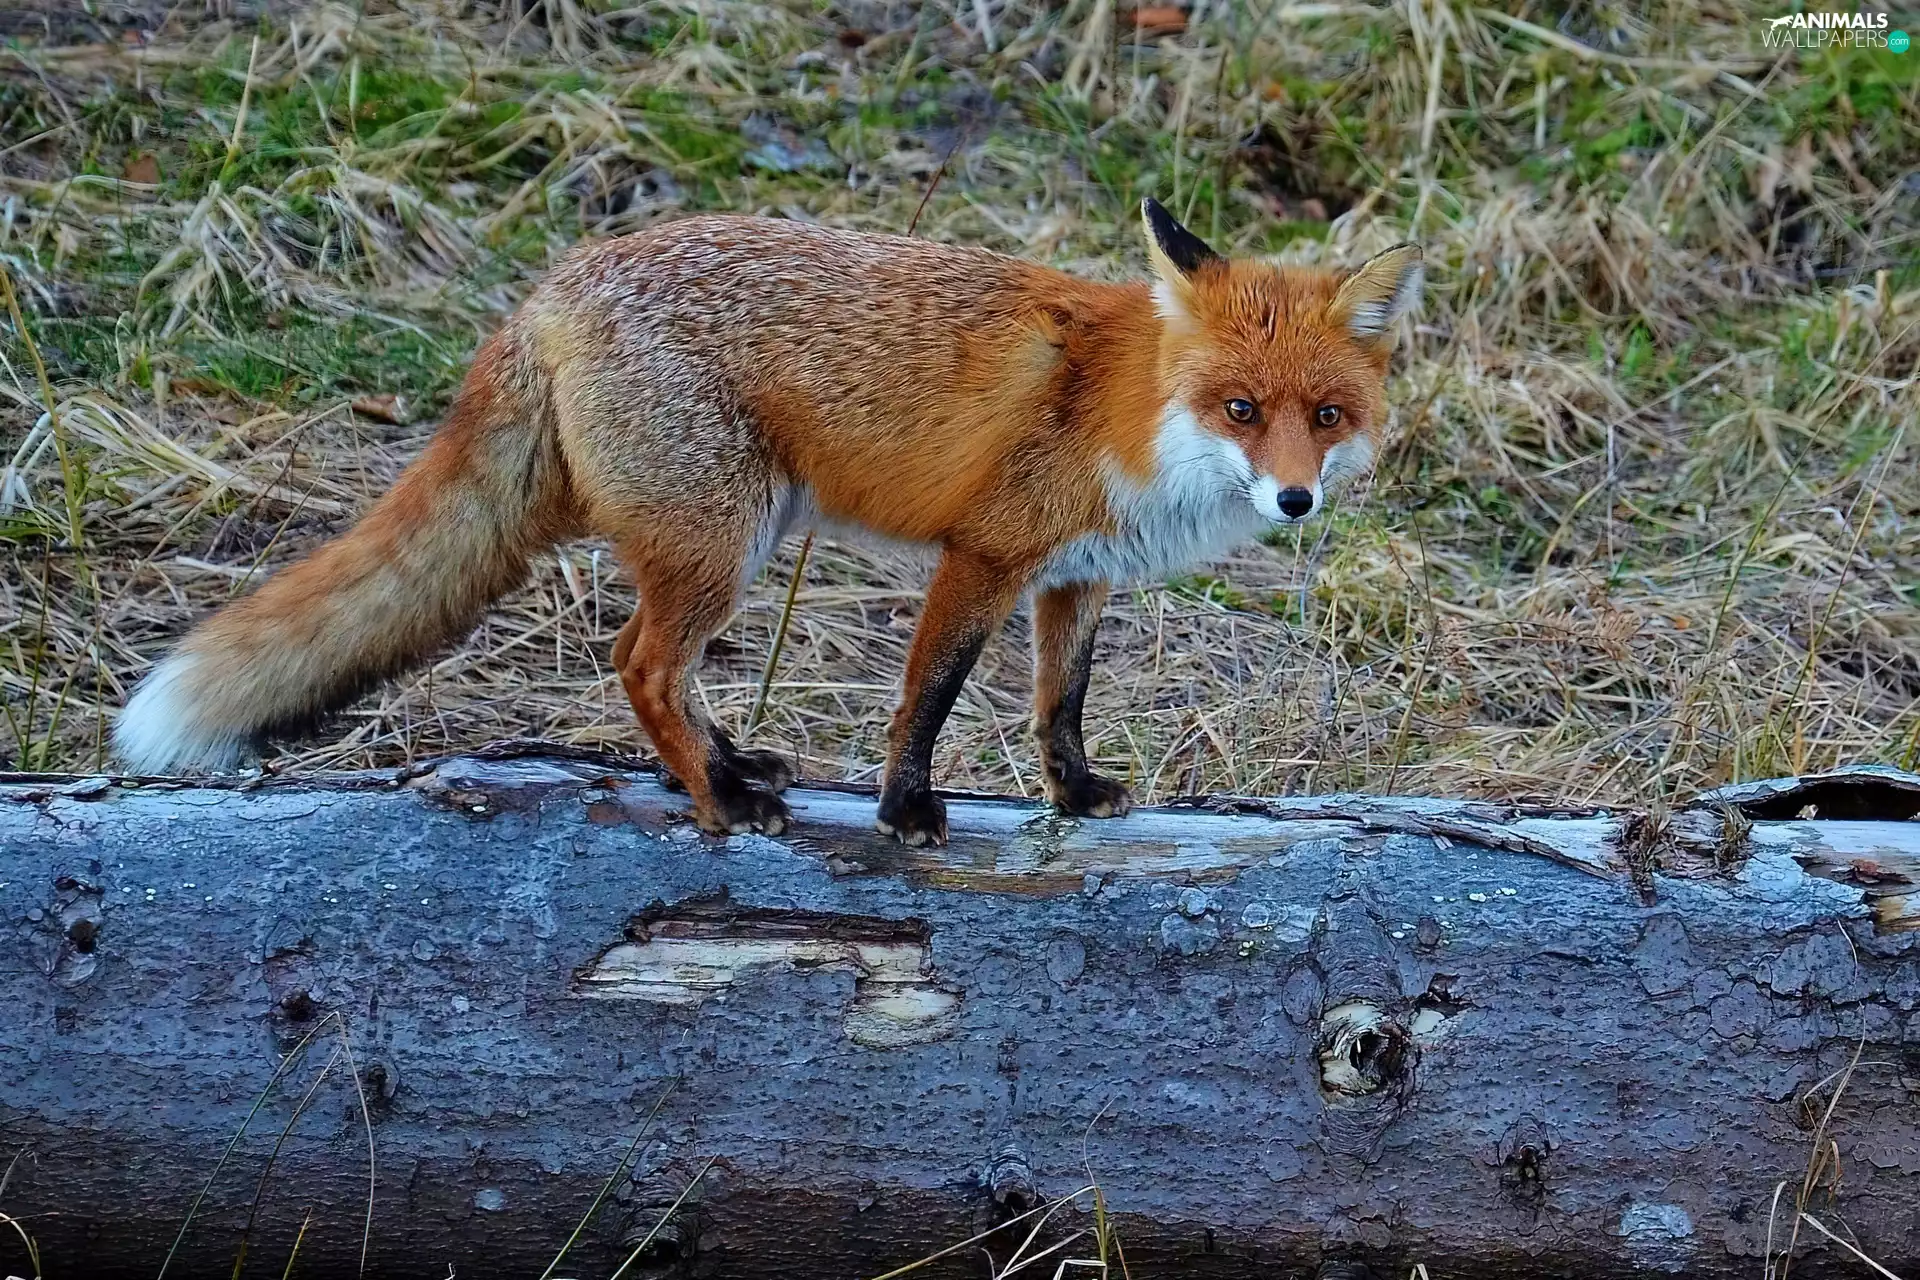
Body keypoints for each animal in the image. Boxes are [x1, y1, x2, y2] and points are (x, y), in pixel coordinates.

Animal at [114, 199, 1421, 847]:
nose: (1297, 497)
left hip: (738, 535)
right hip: (721, 543)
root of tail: (551, 288)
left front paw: (1073, 793)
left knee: (659, 665)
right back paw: (718, 802)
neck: (1129, 411)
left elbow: (1060, 703)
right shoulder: (985, 554)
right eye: (1241, 408)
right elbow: (926, 697)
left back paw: (731, 763)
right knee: (640, 662)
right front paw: (905, 811)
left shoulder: (1075, 576)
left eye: (1325, 414)